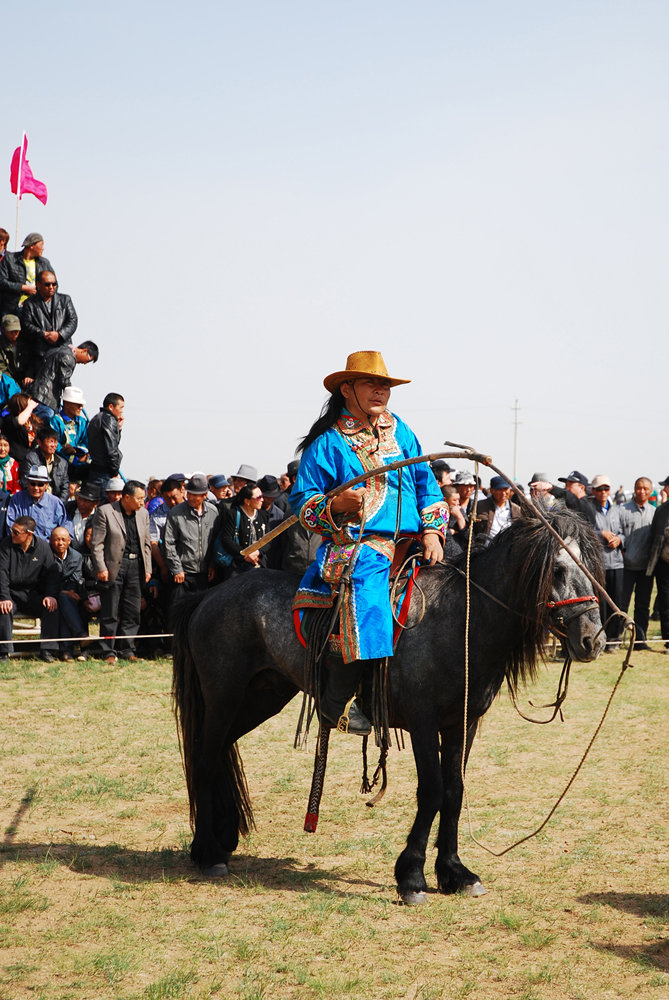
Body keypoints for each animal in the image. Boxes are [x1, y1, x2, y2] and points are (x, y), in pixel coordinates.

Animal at [171, 512, 604, 904]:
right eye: (558, 570)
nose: (593, 640)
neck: (461, 620)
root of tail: (209, 595)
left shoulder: (462, 723)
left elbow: (455, 791)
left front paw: (455, 872)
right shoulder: (424, 723)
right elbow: (431, 792)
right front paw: (411, 875)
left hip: (262, 695)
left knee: (219, 753)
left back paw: (220, 839)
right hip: (224, 695)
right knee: (205, 760)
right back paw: (208, 853)